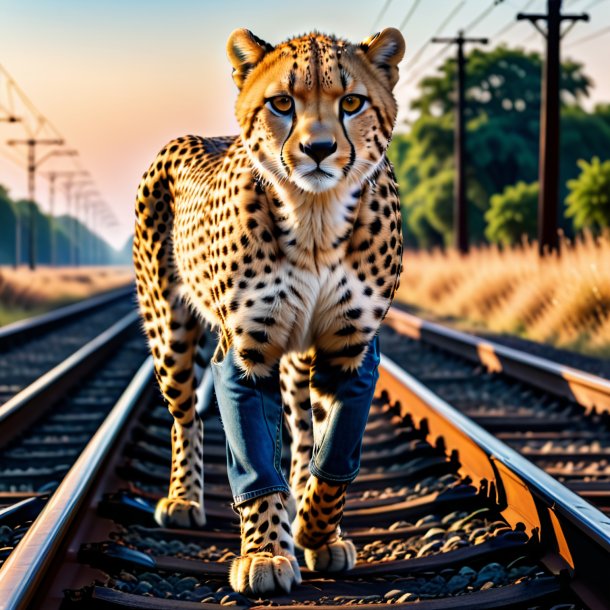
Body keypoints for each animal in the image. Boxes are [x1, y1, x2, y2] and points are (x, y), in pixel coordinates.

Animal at [135, 28, 406, 592]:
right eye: (282, 103)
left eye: (352, 103)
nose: (319, 149)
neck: (315, 218)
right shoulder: (244, 354)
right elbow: (256, 460)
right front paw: (265, 554)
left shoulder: (349, 351)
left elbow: (333, 452)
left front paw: (316, 533)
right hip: (170, 332)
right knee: (185, 417)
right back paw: (183, 499)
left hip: (298, 357)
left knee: (302, 431)